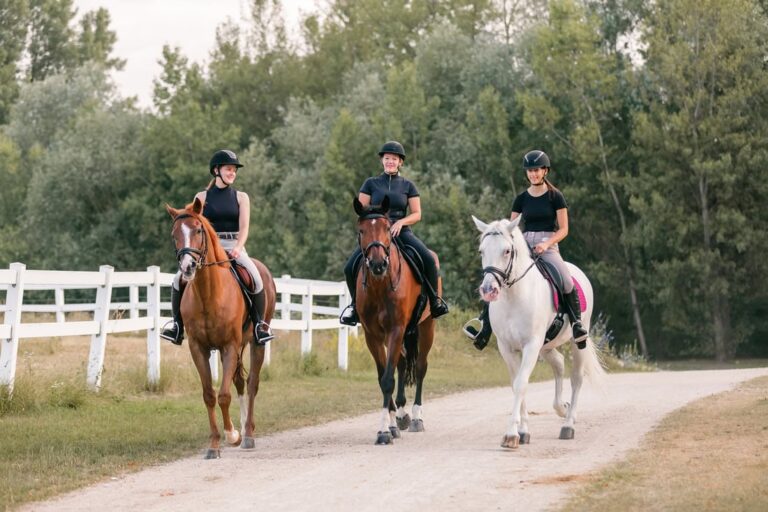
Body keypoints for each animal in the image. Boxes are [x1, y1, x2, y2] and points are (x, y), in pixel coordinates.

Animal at [166, 197, 276, 459]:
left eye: (198, 230)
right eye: (174, 234)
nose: (187, 267)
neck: (209, 293)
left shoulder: (228, 347)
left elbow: (224, 395)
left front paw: (232, 435)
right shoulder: (198, 349)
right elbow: (209, 395)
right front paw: (214, 444)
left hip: (255, 343)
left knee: (252, 383)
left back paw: (248, 434)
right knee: (239, 382)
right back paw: (243, 427)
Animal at [354, 196, 438, 445]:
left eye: (386, 229)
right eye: (361, 231)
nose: (378, 264)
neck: (380, 286)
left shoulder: (396, 329)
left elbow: (388, 379)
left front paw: (383, 432)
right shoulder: (372, 335)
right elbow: (383, 376)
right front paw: (389, 427)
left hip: (426, 326)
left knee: (420, 367)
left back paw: (417, 418)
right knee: (401, 362)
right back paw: (401, 415)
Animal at [472, 215, 605, 448]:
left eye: (507, 251)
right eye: (482, 251)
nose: (489, 290)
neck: (514, 296)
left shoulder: (531, 345)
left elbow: (521, 383)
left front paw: (511, 435)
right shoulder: (507, 348)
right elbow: (516, 383)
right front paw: (523, 431)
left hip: (576, 340)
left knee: (576, 378)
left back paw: (568, 424)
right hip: (546, 345)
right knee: (559, 364)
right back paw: (562, 408)